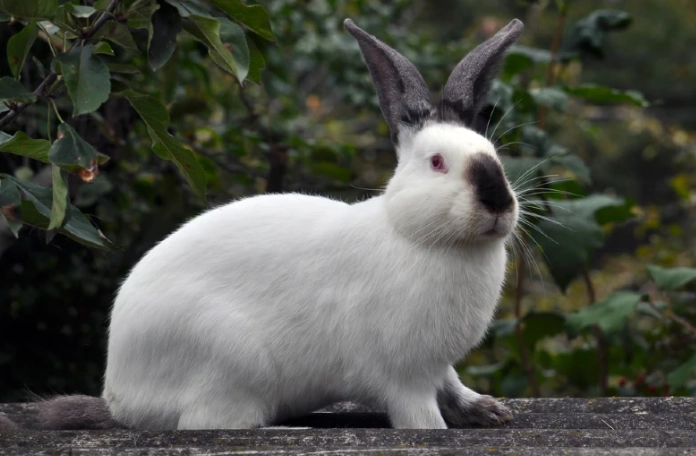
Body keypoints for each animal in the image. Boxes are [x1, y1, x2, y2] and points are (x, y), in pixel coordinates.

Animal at [12, 17, 524, 431]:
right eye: (437, 162)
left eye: (493, 155)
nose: (498, 202)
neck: (418, 235)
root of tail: (121, 399)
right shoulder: (406, 376)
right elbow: (421, 418)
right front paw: (443, 427)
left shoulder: (439, 367)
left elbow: (453, 386)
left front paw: (489, 411)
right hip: (233, 361)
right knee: (206, 424)